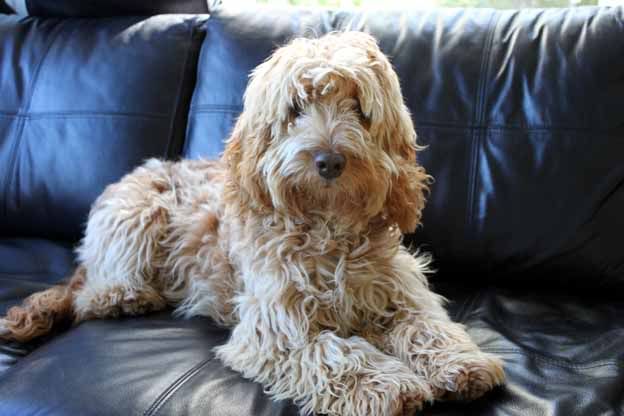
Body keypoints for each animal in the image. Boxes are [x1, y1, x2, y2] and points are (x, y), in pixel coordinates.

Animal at [0, 32, 504, 416]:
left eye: (358, 108)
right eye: (297, 107)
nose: (329, 160)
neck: (327, 229)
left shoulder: (399, 290)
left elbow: (427, 325)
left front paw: (463, 363)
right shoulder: (276, 328)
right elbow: (335, 352)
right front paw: (391, 385)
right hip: (139, 211)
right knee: (88, 296)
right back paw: (126, 297)